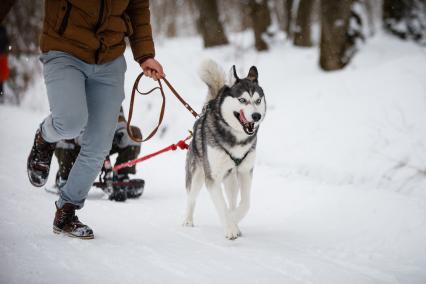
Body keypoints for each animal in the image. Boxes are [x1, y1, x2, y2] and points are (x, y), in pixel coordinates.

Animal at [183, 60, 266, 240]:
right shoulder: (212, 178)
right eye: (242, 99)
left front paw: (233, 221)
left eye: (258, 100)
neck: (236, 139)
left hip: (231, 180)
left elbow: (245, 204)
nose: (256, 116)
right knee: (191, 198)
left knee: (232, 200)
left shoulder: (245, 172)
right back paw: (187, 220)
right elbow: (221, 206)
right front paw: (230, 227)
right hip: (197, 176)